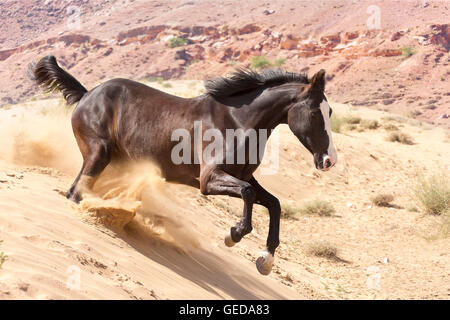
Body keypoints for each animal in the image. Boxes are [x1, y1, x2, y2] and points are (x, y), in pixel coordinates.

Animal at [29, 55, 336, 276]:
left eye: (330, 111)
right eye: (314, 112)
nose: (328, 160)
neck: (238, 122)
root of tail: (86, 95)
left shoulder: (245, 177)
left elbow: (274, 203)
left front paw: (265, 260)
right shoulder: (209, 180)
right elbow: (248, 195)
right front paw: (233, 235)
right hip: (98, 155)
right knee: (75, 191)